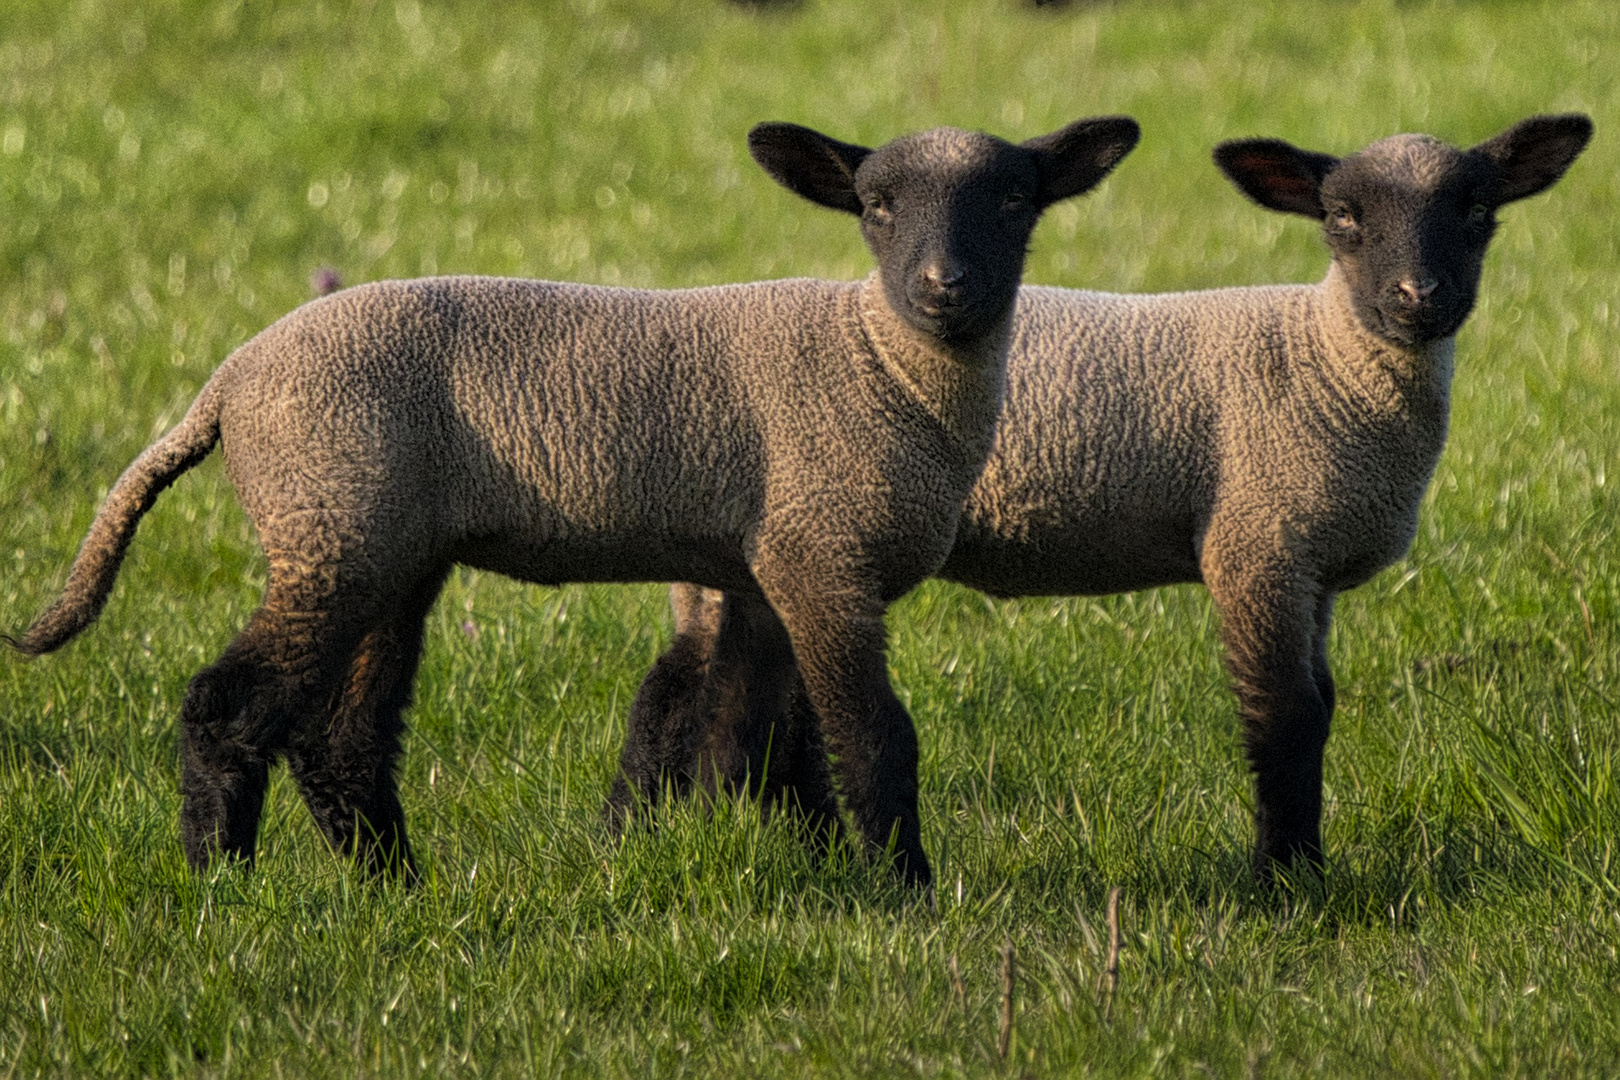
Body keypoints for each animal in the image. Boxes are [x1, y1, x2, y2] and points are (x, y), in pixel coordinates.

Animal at [3, 116, 1140, 887]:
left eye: (1014, 203)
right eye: (876, 207)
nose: (946, 285)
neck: (882, 366)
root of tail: (227, 382)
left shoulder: (775, 567)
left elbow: (770, 734)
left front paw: (820, 873)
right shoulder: (823, 555)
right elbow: (869, 739)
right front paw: (906, 895)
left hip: (385, 547)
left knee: (343, 737)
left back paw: (395, 890)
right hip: (331, 525)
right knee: (229, 706)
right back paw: (220, 883)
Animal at [609, 114, 1594, 880]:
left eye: (1478, 213)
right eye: (1344, 218)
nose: (1420, 297)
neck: (1321, 357)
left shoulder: (1308, 566)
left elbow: (1322, 706)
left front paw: (1305, 867)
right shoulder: (1258, 543)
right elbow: (1286, 717)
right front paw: (1285, 884)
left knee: (746, 708)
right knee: (692, 697)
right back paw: (652, 845)